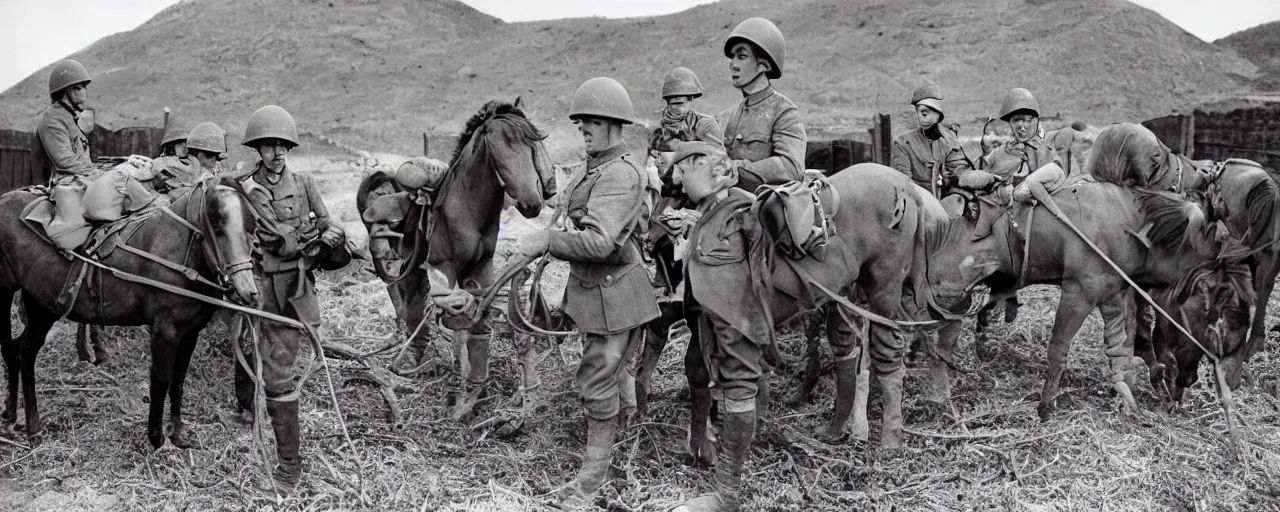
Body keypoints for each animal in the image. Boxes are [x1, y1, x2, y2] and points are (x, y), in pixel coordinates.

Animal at [0, 177, 259, 450]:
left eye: (251, 227)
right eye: (216, 225)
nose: (247, 290)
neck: (176, 254)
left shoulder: (191, 332)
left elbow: (179, 378)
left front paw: (178, 432)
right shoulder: (164, 331)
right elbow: (161, 379)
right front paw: (156, 437)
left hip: (40, 304)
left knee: (16, 349)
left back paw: (11, 415)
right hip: (19, 298)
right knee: (23, 352)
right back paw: (34, 428)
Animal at [355, 99, 550, 419]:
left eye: (532, 144)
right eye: (500, 147)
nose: (532, 203)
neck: (468, 209)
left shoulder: (481, 269)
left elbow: (479, 325)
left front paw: (475, 391)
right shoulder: (444, 267)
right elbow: (456, 320)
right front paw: (459, 397)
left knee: (414, 304)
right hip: (399, 266)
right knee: (404, 302)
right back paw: (407, 360)